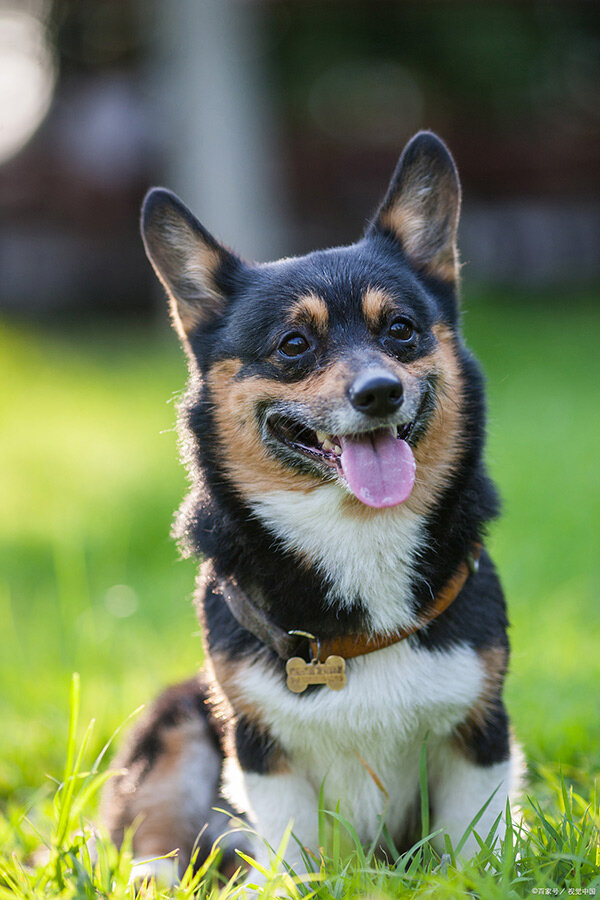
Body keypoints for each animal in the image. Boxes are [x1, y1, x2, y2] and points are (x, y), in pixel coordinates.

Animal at [102, 132, 520, 880]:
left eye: (401, 331)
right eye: (293, 344)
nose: (380, 393)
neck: (355, 531)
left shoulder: (480, 728)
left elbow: (473, 844)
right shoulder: (257, 741)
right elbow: (291, 849)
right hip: (181, 723)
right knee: (154, 827)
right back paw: (152, 878)